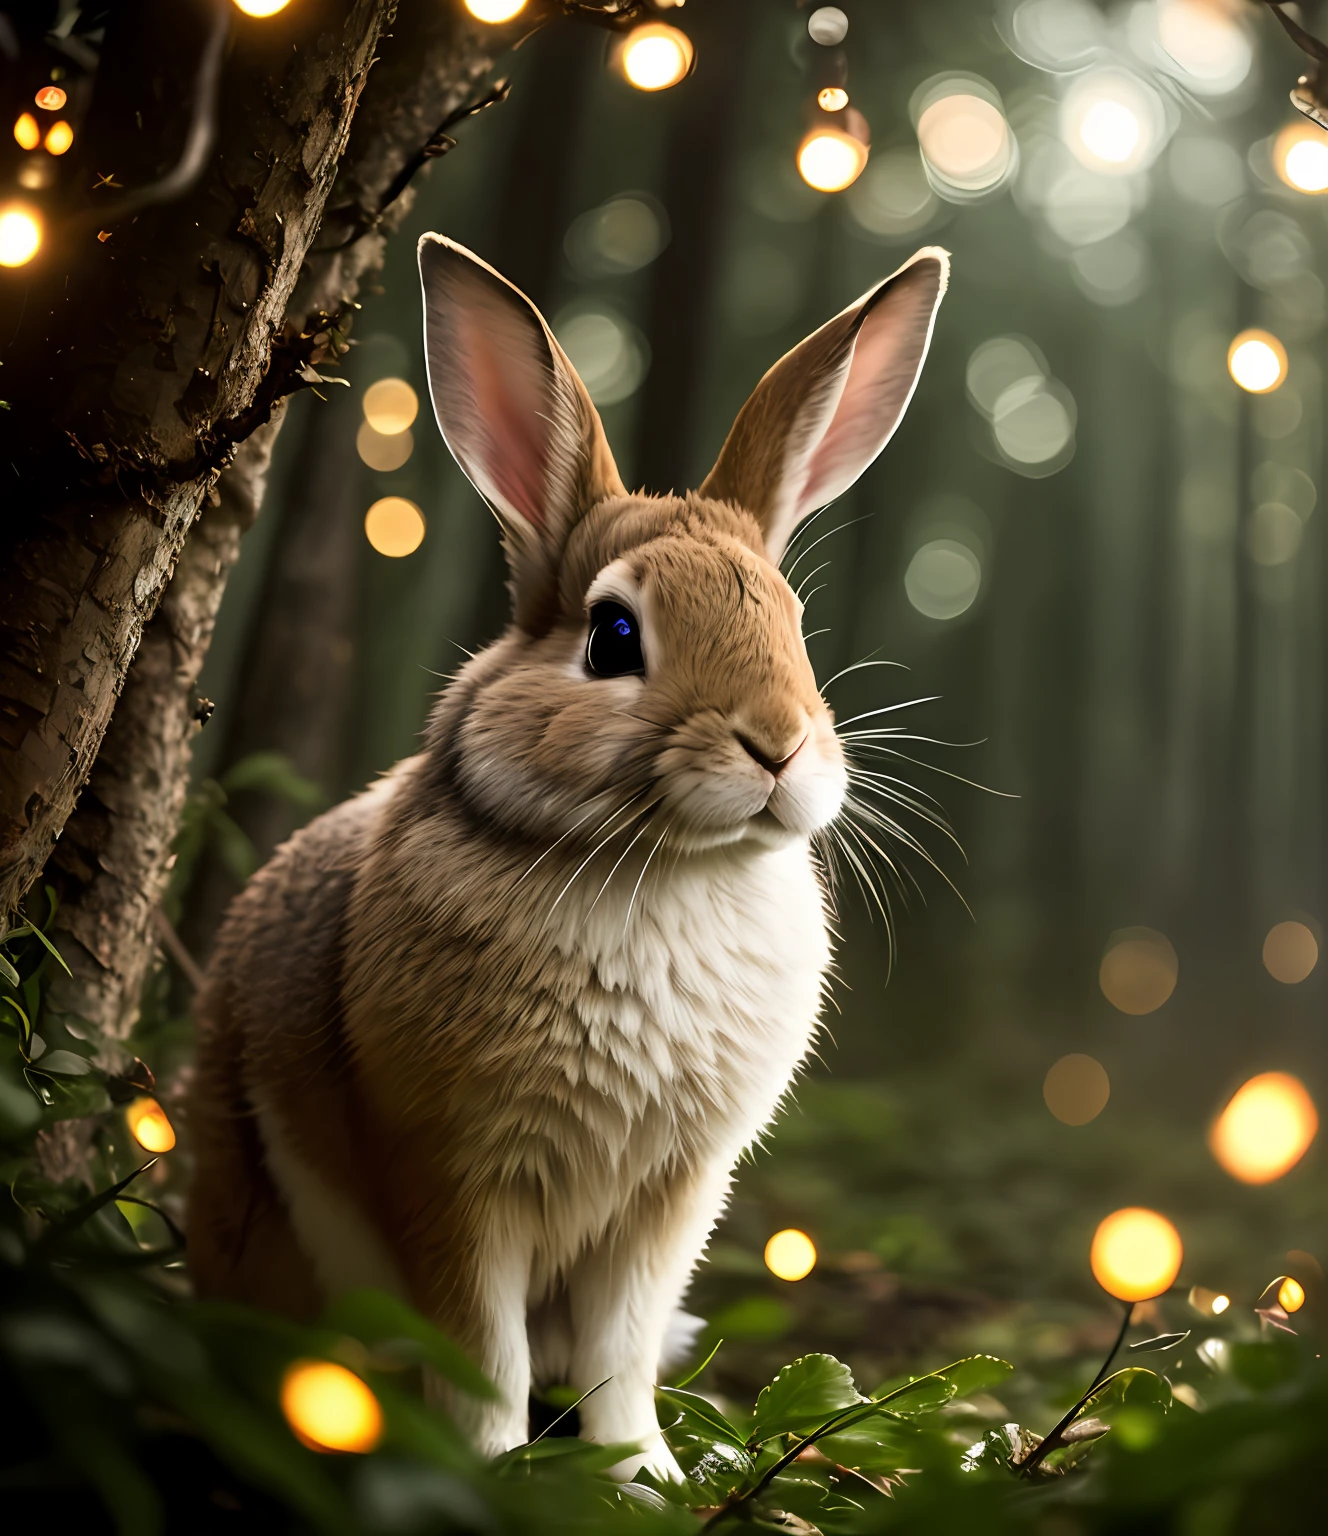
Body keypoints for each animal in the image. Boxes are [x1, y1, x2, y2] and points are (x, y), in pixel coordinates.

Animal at [186, 233, 945, 1480]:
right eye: (613, 635)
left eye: (790, 622)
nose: (779, 745)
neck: (664, 865)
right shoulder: (454, 1174)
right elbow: (478, 1348)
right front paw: (496, 1473)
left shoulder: (670, 1193)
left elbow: (619, 1351)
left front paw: (640, 1476)